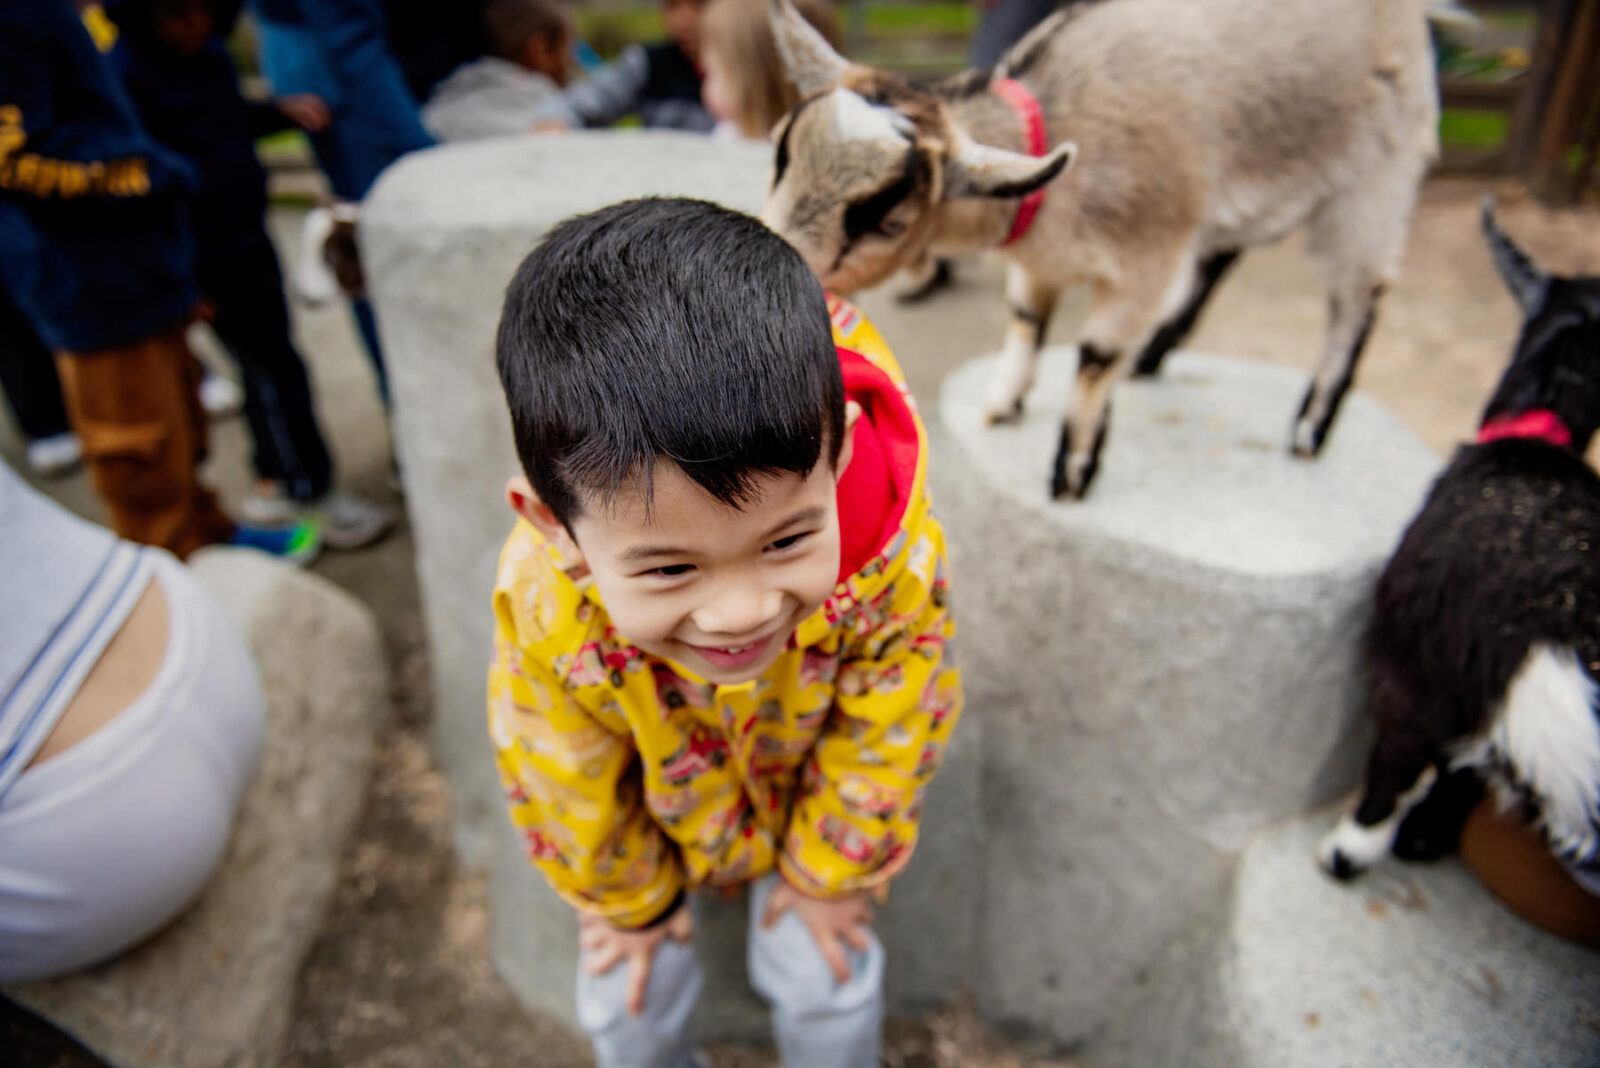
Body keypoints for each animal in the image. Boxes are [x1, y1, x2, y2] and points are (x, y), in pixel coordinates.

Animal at [761, 0, 1440, 498]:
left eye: (888, 221)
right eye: (779, 154)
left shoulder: (1147, 258)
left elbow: (1094, 356)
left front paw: (1073, 469)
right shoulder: (1040, 261)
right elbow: (1027, 320)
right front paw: (1004, 403)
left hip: (1380, 172)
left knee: (1358, 295)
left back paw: (1310, 426)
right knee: (1224, 253)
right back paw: (1156, 354)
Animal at [1318, 204, 1600, 888]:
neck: (1537, 435)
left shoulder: (1415, 663)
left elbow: (1400, 757)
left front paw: (1349, 851)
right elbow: (1465, 771)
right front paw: (1424, 837)